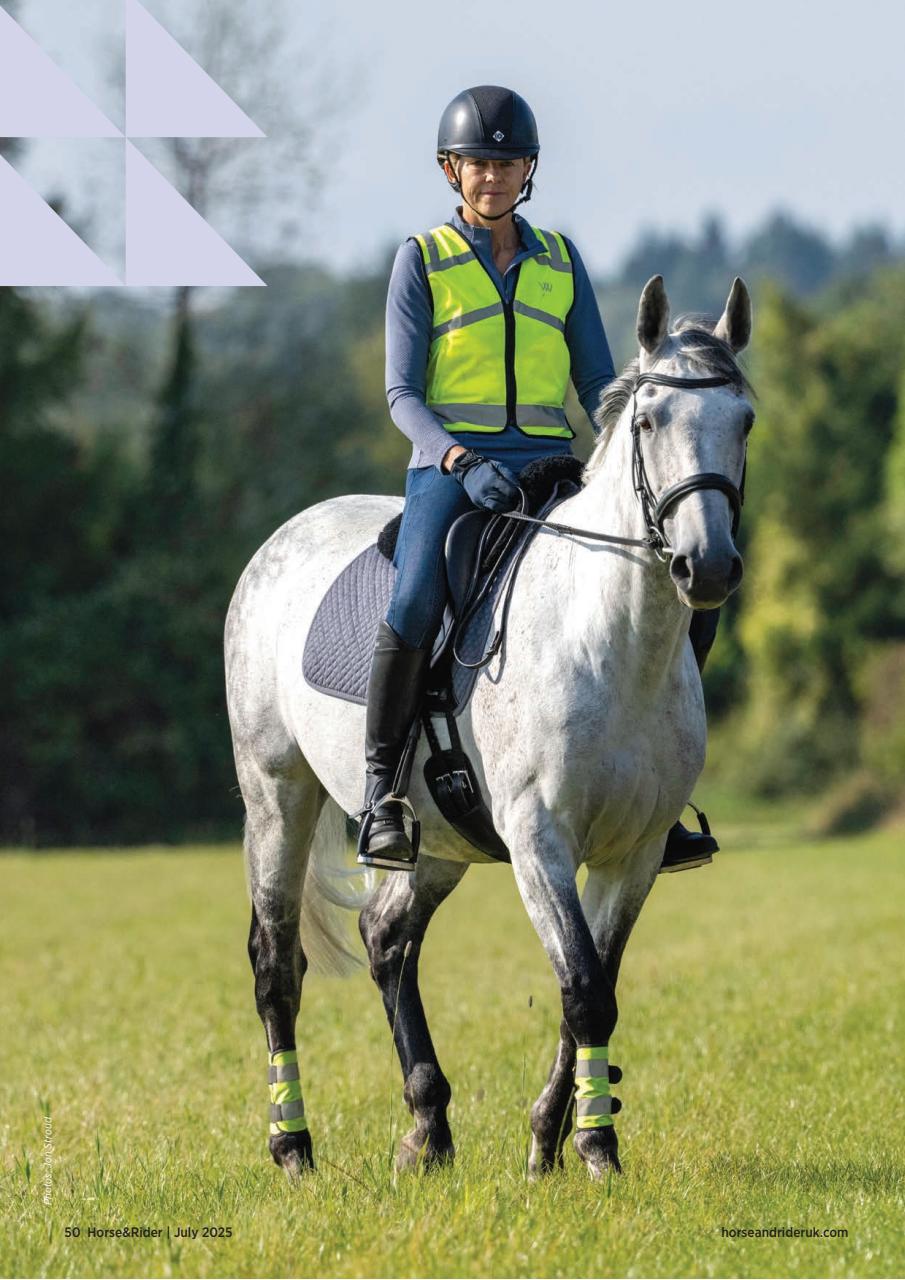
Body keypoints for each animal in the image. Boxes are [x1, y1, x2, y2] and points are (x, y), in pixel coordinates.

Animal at [224, 274, 754, 1180]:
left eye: (744, 419)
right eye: (650, 421)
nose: (706, 566)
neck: (613, 642)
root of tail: (282, 538)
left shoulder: (637, 851)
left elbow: (597, 986)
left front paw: (555, 1139)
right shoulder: (540, 840)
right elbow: (583, 989)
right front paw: (594, 1147)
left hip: (437, 837)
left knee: (386, 937)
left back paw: (427, 1128)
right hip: (276, 797)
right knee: (275, 965)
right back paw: (292, 1146)